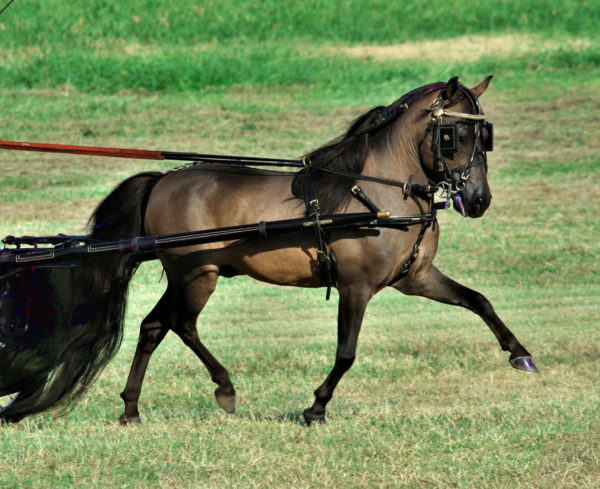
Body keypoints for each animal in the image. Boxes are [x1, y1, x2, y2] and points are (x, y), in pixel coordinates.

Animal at [0, 75, 540, 424]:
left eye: (484, 133)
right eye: (452, 134)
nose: (479, 199)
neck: (376, 194)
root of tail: (164, 181)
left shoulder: (415, 278)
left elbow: (478, 301)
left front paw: (521, 355)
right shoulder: (356, 286)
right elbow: (346, 353)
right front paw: (316, 406)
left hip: (191, 272)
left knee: (155, 326)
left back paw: (132, 408)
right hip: (197, 274)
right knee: (181, 324)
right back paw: (224, 388)